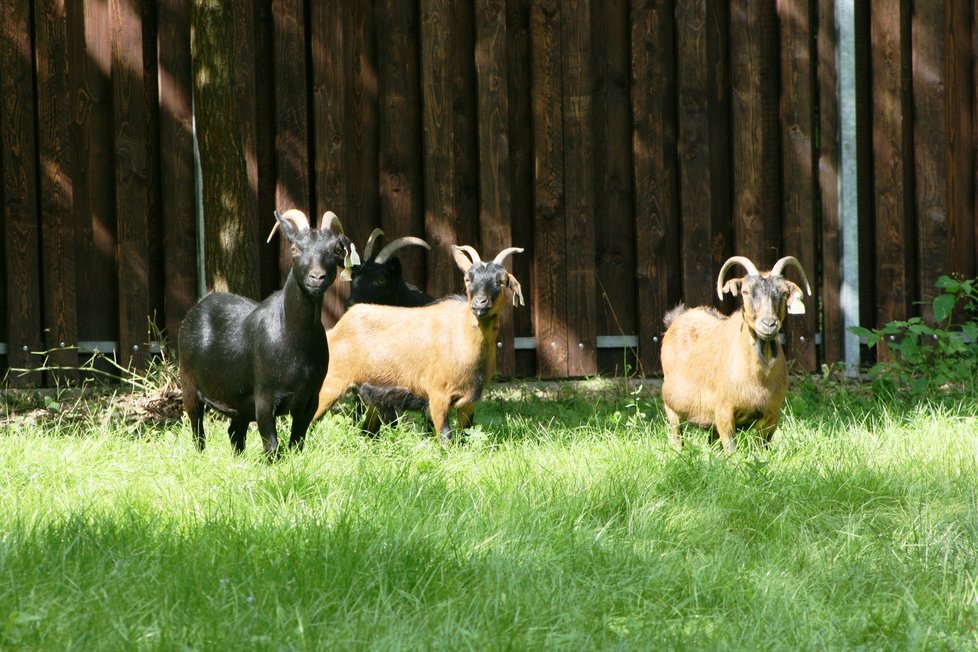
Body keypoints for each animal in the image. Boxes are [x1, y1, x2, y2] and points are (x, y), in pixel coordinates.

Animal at [179, 210, 354, 458]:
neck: (294, 341)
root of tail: (198, 307)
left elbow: (297, 442)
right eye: (294, 249)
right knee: (197, 429)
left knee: (235, 432)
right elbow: (272, 445)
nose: (316, 278)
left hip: (239, 401)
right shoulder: (264, 398)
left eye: (336, 250)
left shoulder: (310, 398)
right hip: (189, 384)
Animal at [316, 246, 524, 444]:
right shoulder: (437, 396)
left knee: (368, 431)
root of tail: (336, 329)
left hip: (372, 395)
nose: (480, 303)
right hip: (330, 383)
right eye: (467, 278)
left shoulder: (470, 402)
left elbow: (465, 437)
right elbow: (446, 437)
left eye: (502, 280)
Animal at [660, 256, 812, 454]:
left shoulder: (772, 414)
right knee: (676, 434)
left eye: (785, 292)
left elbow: (761, 448)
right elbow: (732, 449)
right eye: (745, 291)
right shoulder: (724, 412)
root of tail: (677, 318)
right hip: (671, 408)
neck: (759, 377)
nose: (769, 324)